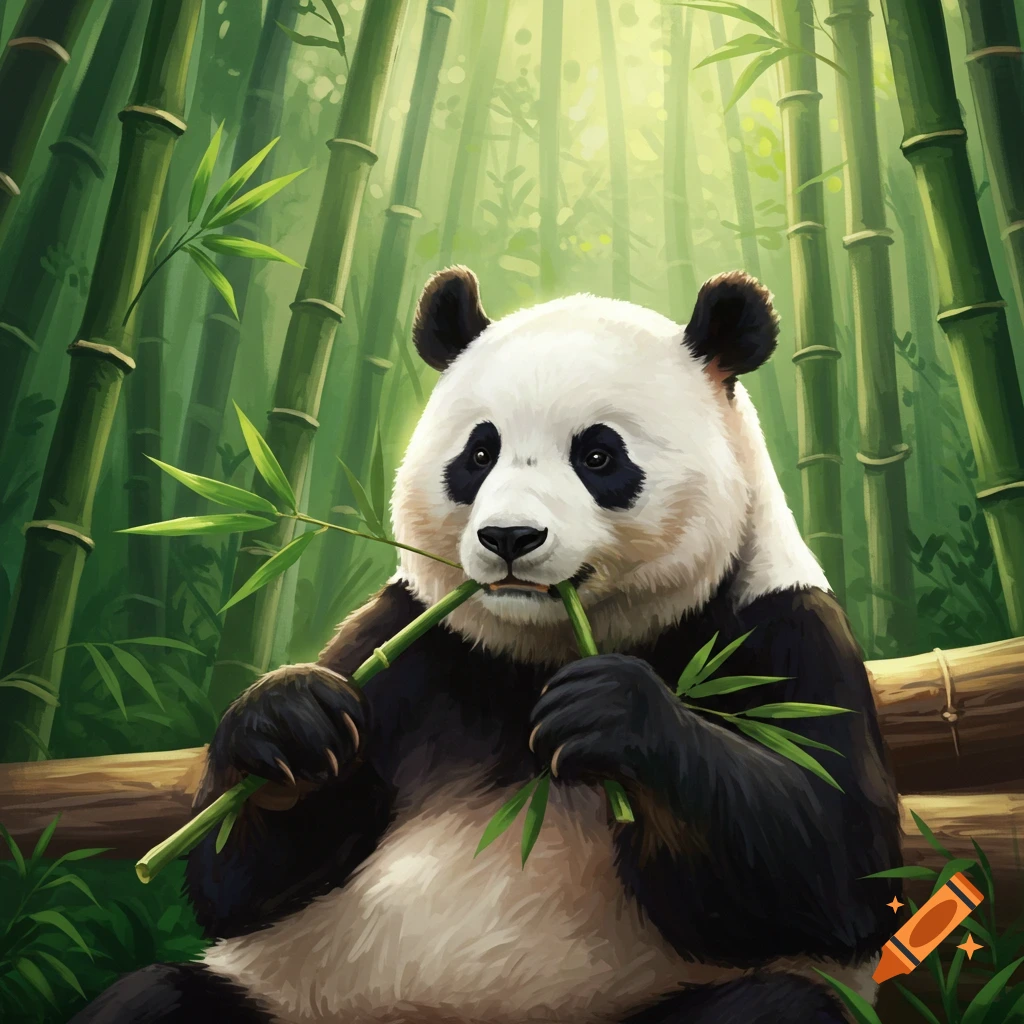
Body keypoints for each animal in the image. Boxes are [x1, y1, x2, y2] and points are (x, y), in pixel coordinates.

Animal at [74, 267, 902, 1024]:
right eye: (479, 454)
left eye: (599, 456)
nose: (510, 538)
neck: (541, 651)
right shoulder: (408, 645)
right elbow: (238, 885)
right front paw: (288, 724)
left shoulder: (779, 630)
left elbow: (837, 867)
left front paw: (614, 714)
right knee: (154, 997)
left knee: (775, 1003)